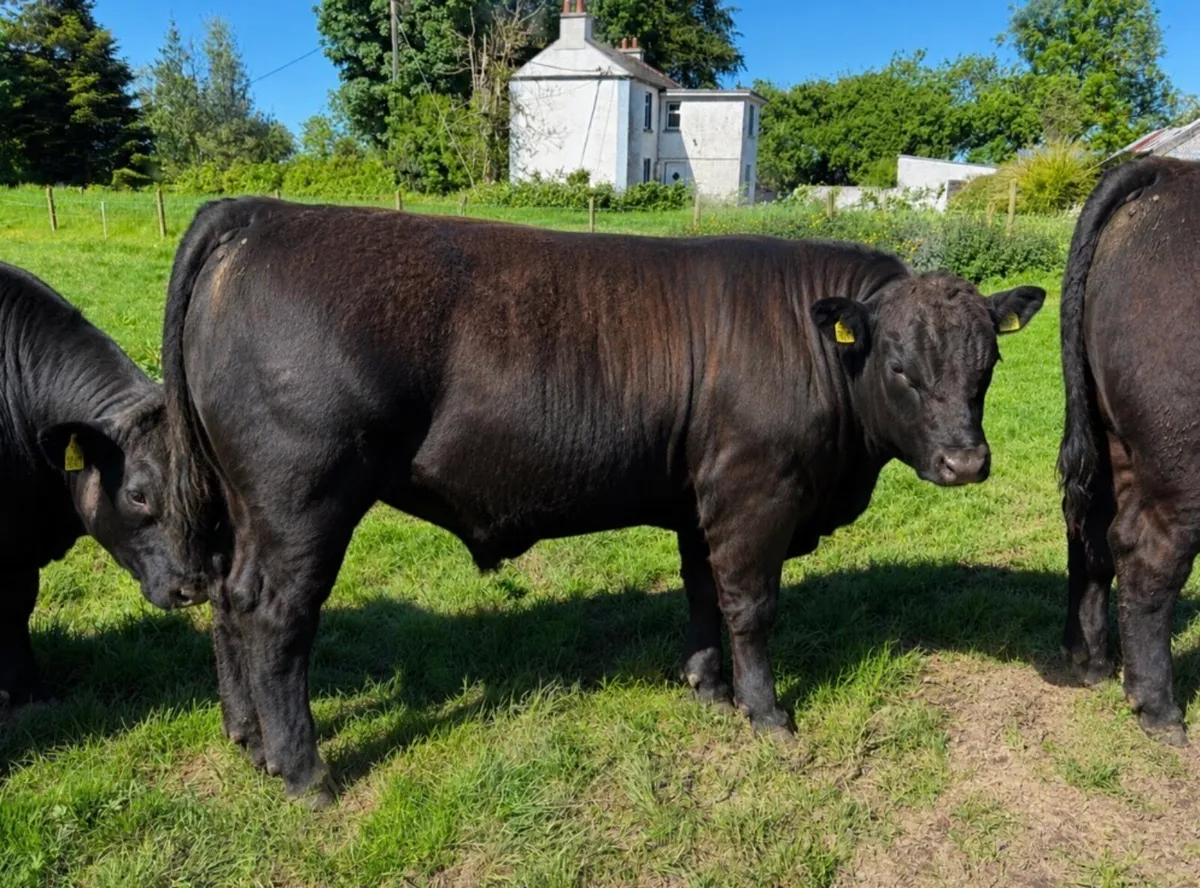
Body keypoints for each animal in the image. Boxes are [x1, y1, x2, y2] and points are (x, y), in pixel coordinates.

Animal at [161, 198, 1044, 807]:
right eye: (898, 366)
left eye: (988, 363)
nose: (967, 461)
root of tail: (256, 211)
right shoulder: (756, 495)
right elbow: (751, 608)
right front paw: (766, 713)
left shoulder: (700, 500)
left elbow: (702, 595)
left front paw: (707, 688)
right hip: (302, 498)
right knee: (275, 617)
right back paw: (304, 771)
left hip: (244, 506)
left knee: (228, 603)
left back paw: (249, 740)